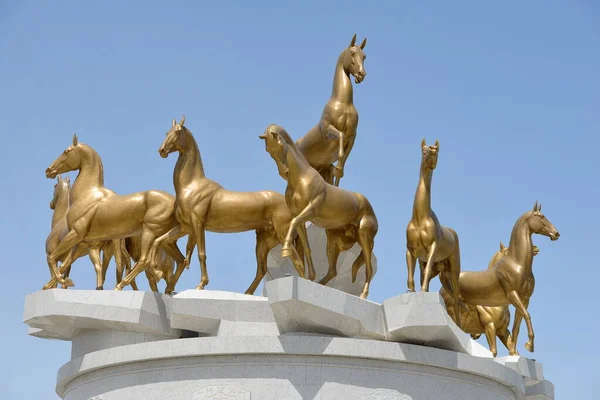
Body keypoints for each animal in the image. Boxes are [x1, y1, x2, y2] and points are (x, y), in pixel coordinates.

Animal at [258, 123, 380, 298]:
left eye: (278, 145)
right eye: (268, 150)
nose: (284, 172)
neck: (300, 178)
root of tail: (369, 207)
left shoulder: (310, 210)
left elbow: (293, 223)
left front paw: (285, 250)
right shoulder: (300, 217)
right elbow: (306, 247)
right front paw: (309, 277)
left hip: (364, 237)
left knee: (368, 268)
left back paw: (363, 295)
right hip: (334, 241)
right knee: (333, 271)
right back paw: (320, 285)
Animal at [294, 33, 366, 187]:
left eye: (364, 56)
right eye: (352, 52)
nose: (361, 74)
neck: (343, 103)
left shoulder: (352, 136)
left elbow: (342, 163)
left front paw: (339, 170)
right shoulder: (327, 130)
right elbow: (340, 136)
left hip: (322, 170)